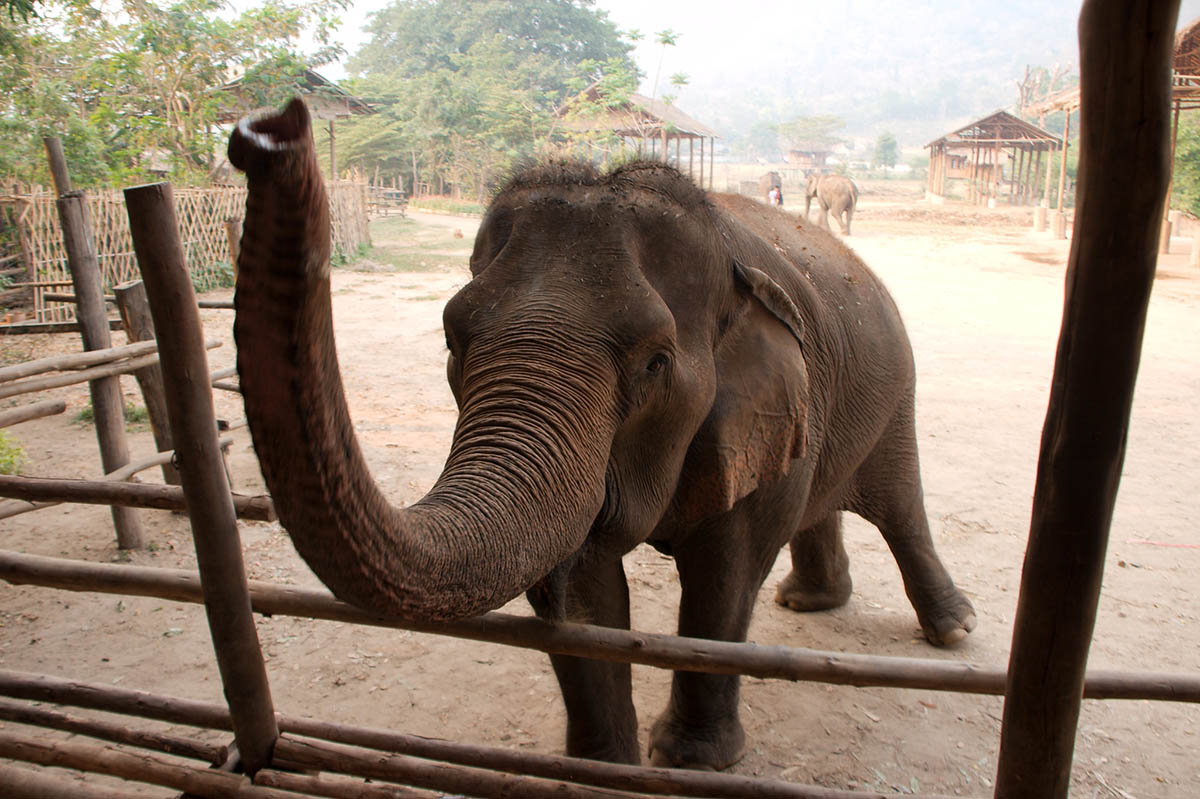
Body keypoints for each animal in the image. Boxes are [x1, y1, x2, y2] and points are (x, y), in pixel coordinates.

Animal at [226, 99, 974, 772]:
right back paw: (810, 602)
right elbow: (585, 583)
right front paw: (599, 766)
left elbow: (725, 572)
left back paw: (952, 629)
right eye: (451, 341)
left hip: (895, 388)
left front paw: (691, 762)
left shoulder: (764, 412)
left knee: (900, 503)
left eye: (654, 362)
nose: (266, 132)